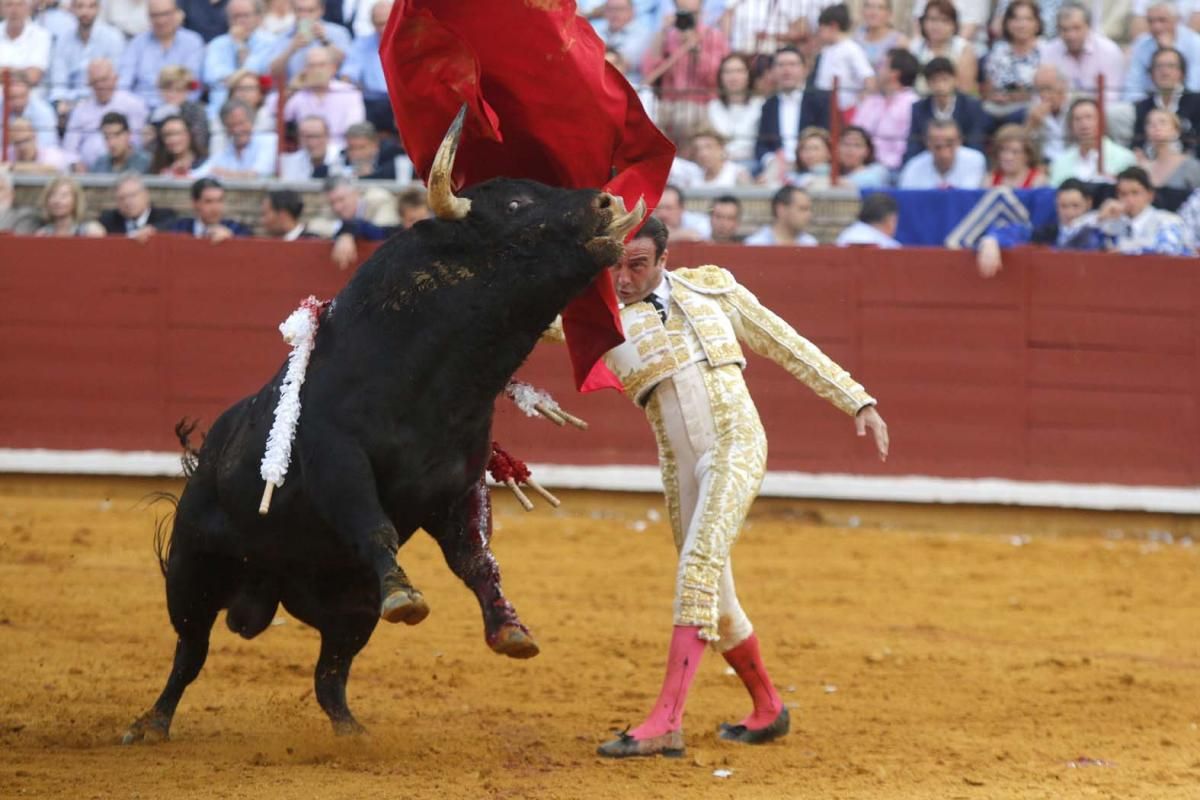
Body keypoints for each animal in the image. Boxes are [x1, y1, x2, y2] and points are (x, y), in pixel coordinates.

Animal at [123, 113, 648, 743]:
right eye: (518, 202)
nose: (606, 200)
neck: (434, 384)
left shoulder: (458, 485)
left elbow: (476, 558)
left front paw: (510, 629)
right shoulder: (337, 461)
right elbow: (374, 524)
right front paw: (405, 595)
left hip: (349, 609)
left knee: (330, 675)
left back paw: (353, 736)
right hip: (192, 571)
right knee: (190, 652)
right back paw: (152, 722)